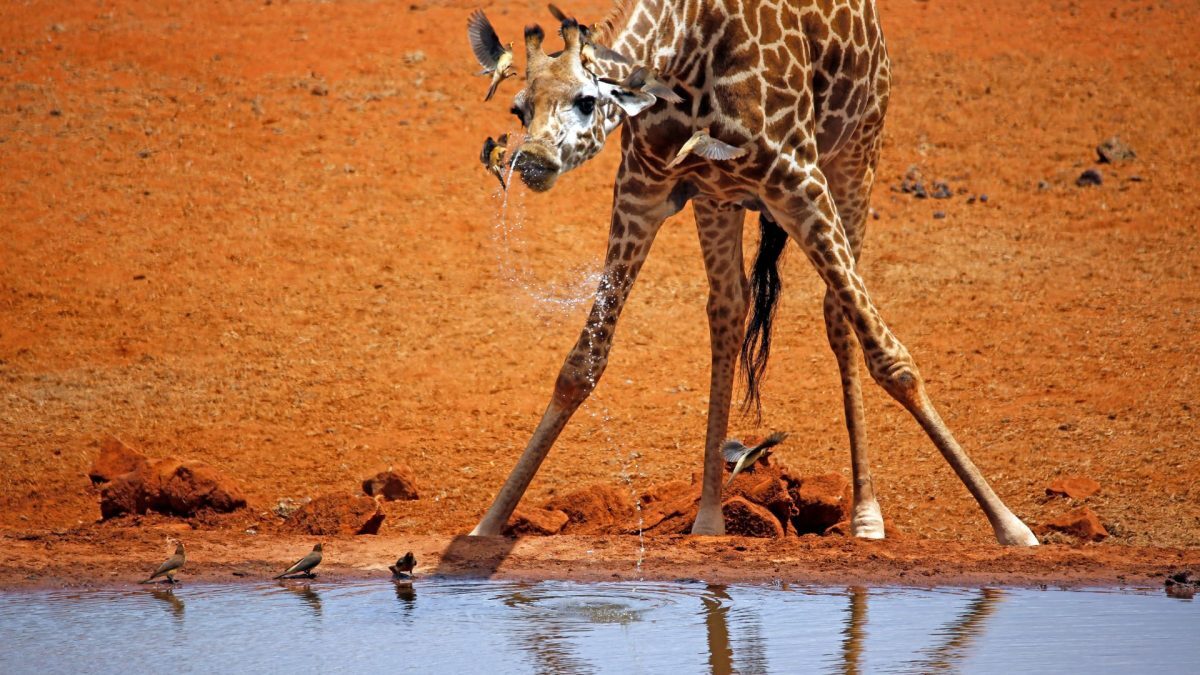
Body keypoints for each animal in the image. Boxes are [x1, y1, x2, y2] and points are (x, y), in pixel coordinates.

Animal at [468, 0, 1039, 546]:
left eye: (587, 101)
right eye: (519, 108)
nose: (532, 160)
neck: (685, 54)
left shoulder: (800, 181)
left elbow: (892, 359)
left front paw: (1011, 526)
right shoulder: (643, 188)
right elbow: (580, 365)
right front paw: (487, 525)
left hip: (857, 152)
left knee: (838, 312)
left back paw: (866, 515)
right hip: (718, 199)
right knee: (730, 308)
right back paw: (709, 517)